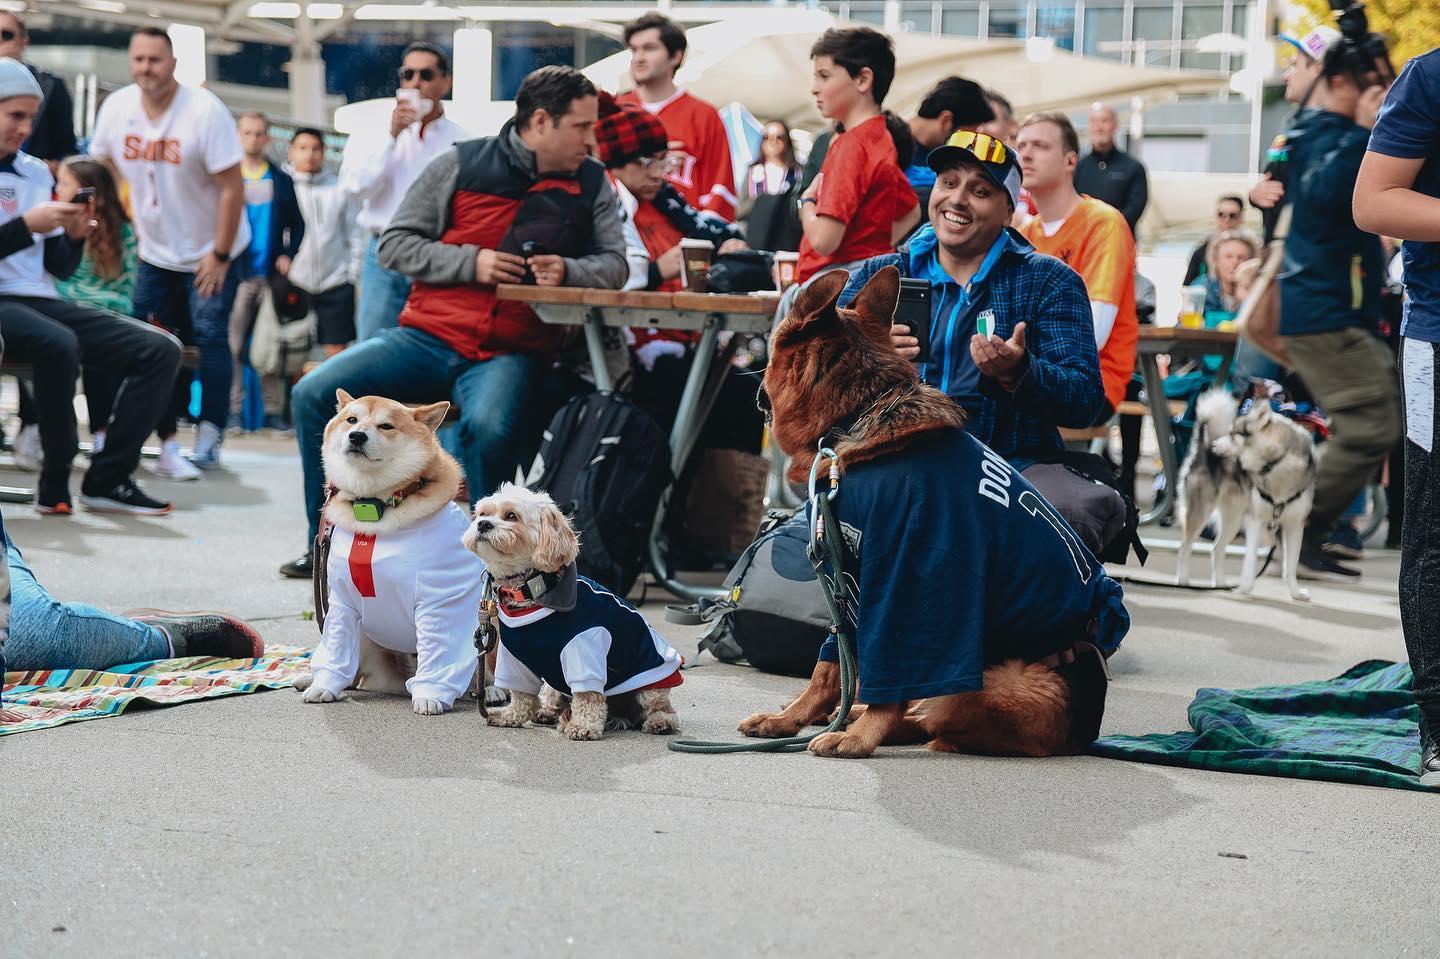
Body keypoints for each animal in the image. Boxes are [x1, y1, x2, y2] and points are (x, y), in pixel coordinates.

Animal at [293, 388, 489, 708]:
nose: (356, 436)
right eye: (351, 420)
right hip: (364, 636)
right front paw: (323, 685)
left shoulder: (440, 603)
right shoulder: (342, 604)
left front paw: (430, 695)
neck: (373, 509)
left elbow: (439, 654)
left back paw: (492, 691)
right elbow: (335, 647)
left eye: (386, 426)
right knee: (354, 672)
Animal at [463, 486, 682, 737]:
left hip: (651, 685)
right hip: (554, 683)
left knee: (661, 708)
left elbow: (587, 696)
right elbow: (521, 694)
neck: (531, 590)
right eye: (482, 514)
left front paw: (584, 726)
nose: (482, 524)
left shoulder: (585, 646)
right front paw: (512, 716)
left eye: (511, 516)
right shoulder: (514, 657)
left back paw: (660, 721)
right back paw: (547, 712)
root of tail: (622, 714)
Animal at [737, 266, 1094, 754]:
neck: (859, 413)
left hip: (1009, 677)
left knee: (933, 719)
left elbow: (888, 667)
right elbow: (830, 666)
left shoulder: (905, 578)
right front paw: (791, 719)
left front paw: (858, 738)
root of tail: (1084, 733)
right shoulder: (844, 583)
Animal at [1175, 385, 1319, 599]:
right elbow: (1250, 561)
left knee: (1216, 549)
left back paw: (1220, 584)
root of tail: (1203, 445)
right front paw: (1245, 587)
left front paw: (1295, 593)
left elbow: (1291, 565)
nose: (1215, 445)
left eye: (1233, 434)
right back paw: (1183, 581)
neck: (1278, 463)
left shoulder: (1294, 525)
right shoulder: (1255, 521)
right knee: (1184, 548)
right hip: (1201, 511)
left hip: (1233, 518)